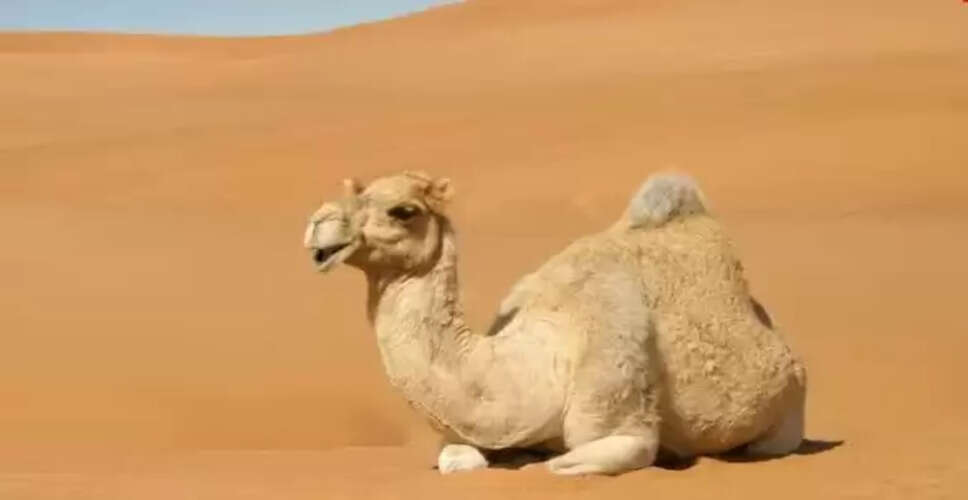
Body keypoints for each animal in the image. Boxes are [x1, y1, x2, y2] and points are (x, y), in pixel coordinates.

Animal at [302, 171, 806, 476]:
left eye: (404, 211)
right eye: (357, 192)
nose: (318, 223)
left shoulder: (619, 425)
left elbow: (563, 462)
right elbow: (457, 458)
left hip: (790, 408)